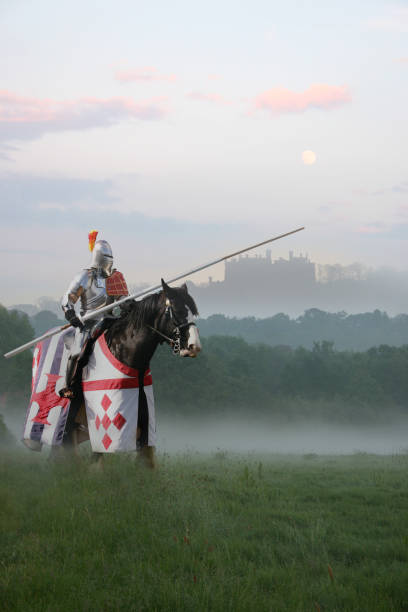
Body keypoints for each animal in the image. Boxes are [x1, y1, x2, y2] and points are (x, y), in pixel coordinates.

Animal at [58, 280, 201, 466]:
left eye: (193, 312)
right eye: (178, 311)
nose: (194, 346)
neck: (126, 349)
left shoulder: (143, 406)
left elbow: (145, 451)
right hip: (75, 399)